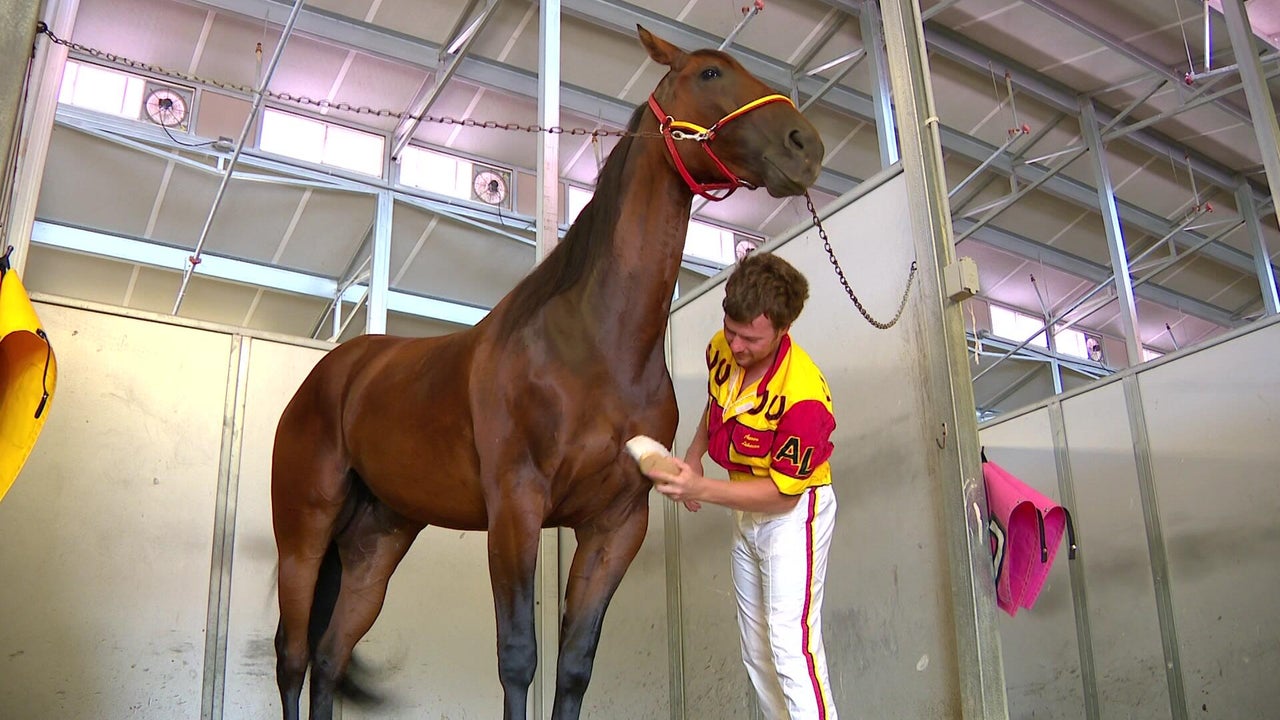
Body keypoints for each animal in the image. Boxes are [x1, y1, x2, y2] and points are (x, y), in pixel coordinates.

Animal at [271, 25, 824, 720]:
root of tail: (329, 376)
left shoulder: (616, 527)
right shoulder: (515, 510)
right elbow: (519, 658)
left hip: (377, 541)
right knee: (293, 656)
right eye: (709, 74)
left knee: (329, 655)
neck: (592, 347)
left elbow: (574, 666)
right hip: (304, 533)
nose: (806, 145)